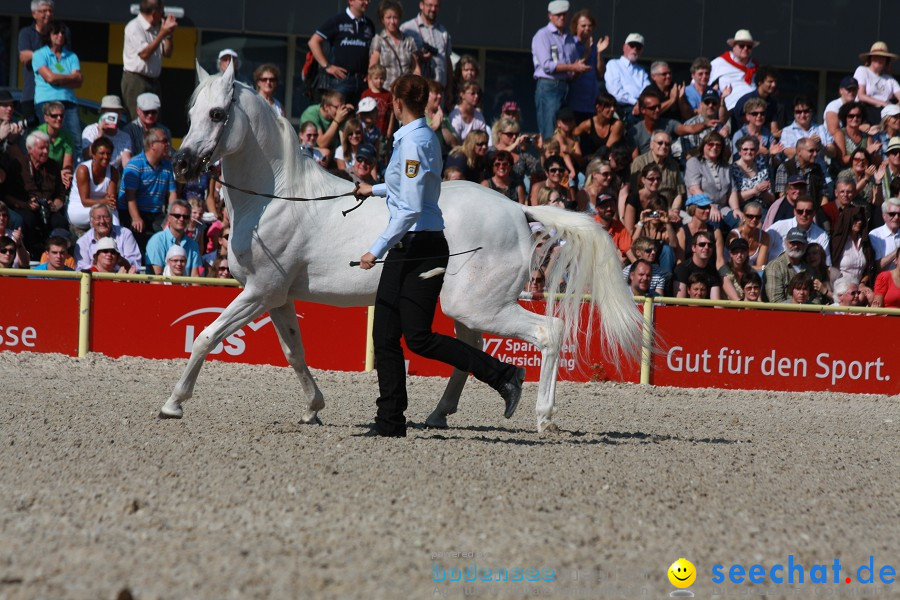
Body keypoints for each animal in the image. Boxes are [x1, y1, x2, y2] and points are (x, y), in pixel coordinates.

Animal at [160, 62, 640, 432]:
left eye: (217, 113)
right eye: (191, 111)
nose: (181, 165)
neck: (277, 197)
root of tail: (516, 209)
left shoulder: (258, 292)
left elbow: (205, 338)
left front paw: (173, 404)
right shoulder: (276, 298)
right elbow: (295, 353)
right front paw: (313, 409)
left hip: (481, 306)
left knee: (547, 333)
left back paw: (543, 416)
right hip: (467, 306)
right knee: (469, 348)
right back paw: (440, 414)